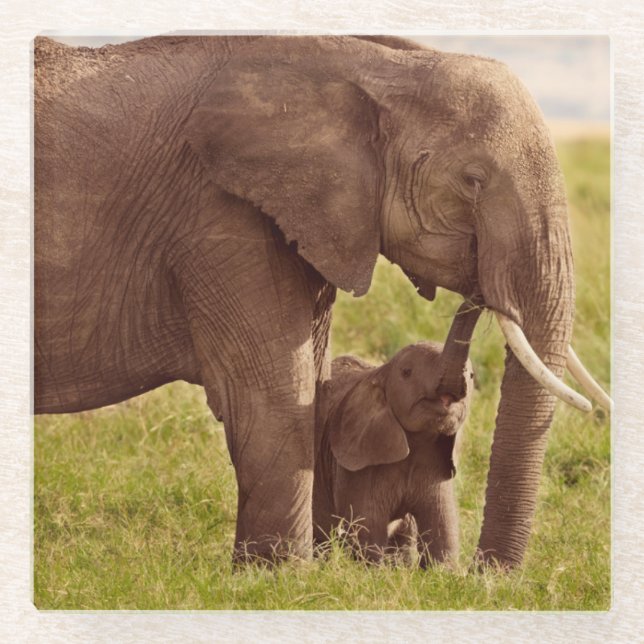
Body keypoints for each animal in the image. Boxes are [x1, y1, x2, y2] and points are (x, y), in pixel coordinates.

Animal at [313, 301, 479, 566]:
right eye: (407, 372)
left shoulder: (437, 463)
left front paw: (443, 571)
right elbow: (368, 528)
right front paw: (374, 569)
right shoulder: (357, 467)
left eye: (472, 376)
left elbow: (443, 529)